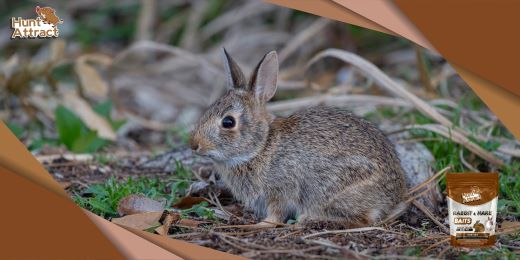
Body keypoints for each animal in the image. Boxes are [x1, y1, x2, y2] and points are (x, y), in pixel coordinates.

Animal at [189, 48, 408, 228]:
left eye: (228, 122)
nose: (194, 145)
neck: (261, 147)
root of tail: (392, 197)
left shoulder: (281, 192)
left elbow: (276, 214)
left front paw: (261, 224)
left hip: (334, 191)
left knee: (363, 219)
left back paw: (310, 218)